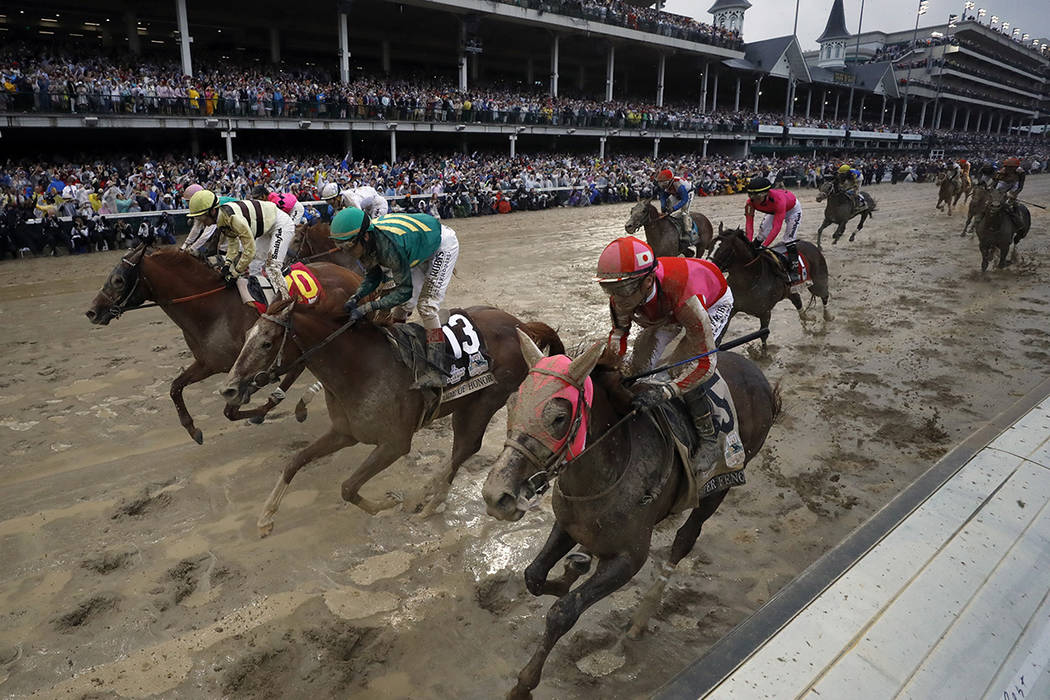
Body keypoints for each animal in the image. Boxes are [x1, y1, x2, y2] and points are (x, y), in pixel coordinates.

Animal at [84, 245, 361, 442]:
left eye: (118, 280)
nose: (92, 312)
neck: (213, 310)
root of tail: (349, 274)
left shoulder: (248, 368)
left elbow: (232, 411)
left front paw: (259, 411)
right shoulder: (209, 363)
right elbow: (175, 387)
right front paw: (192, 429)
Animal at [222, 298, 567, 537]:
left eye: (267, 342)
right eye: (247, 335)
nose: (229, 389)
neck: (358, 368)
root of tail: (521, 326)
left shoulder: (394, 443)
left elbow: (348, 487)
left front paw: (388, 507)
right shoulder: (345, 432)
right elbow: (295, 461)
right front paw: (265, 518)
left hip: (483, 402)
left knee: (465, 449)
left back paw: (425, 500)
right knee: (462, 451)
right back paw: (429, 496)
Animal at [482, 333, 781, 700]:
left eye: (559, 418)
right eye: (511, 404)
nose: (496, 495)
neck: (609, 468)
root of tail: (759, 378)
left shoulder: (629, 558)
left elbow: (563, 611)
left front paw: (523, 685)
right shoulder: (568, 523)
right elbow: (534, 576)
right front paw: (571, 569)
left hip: (719, 485)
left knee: (685, 540)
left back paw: (641, 619)